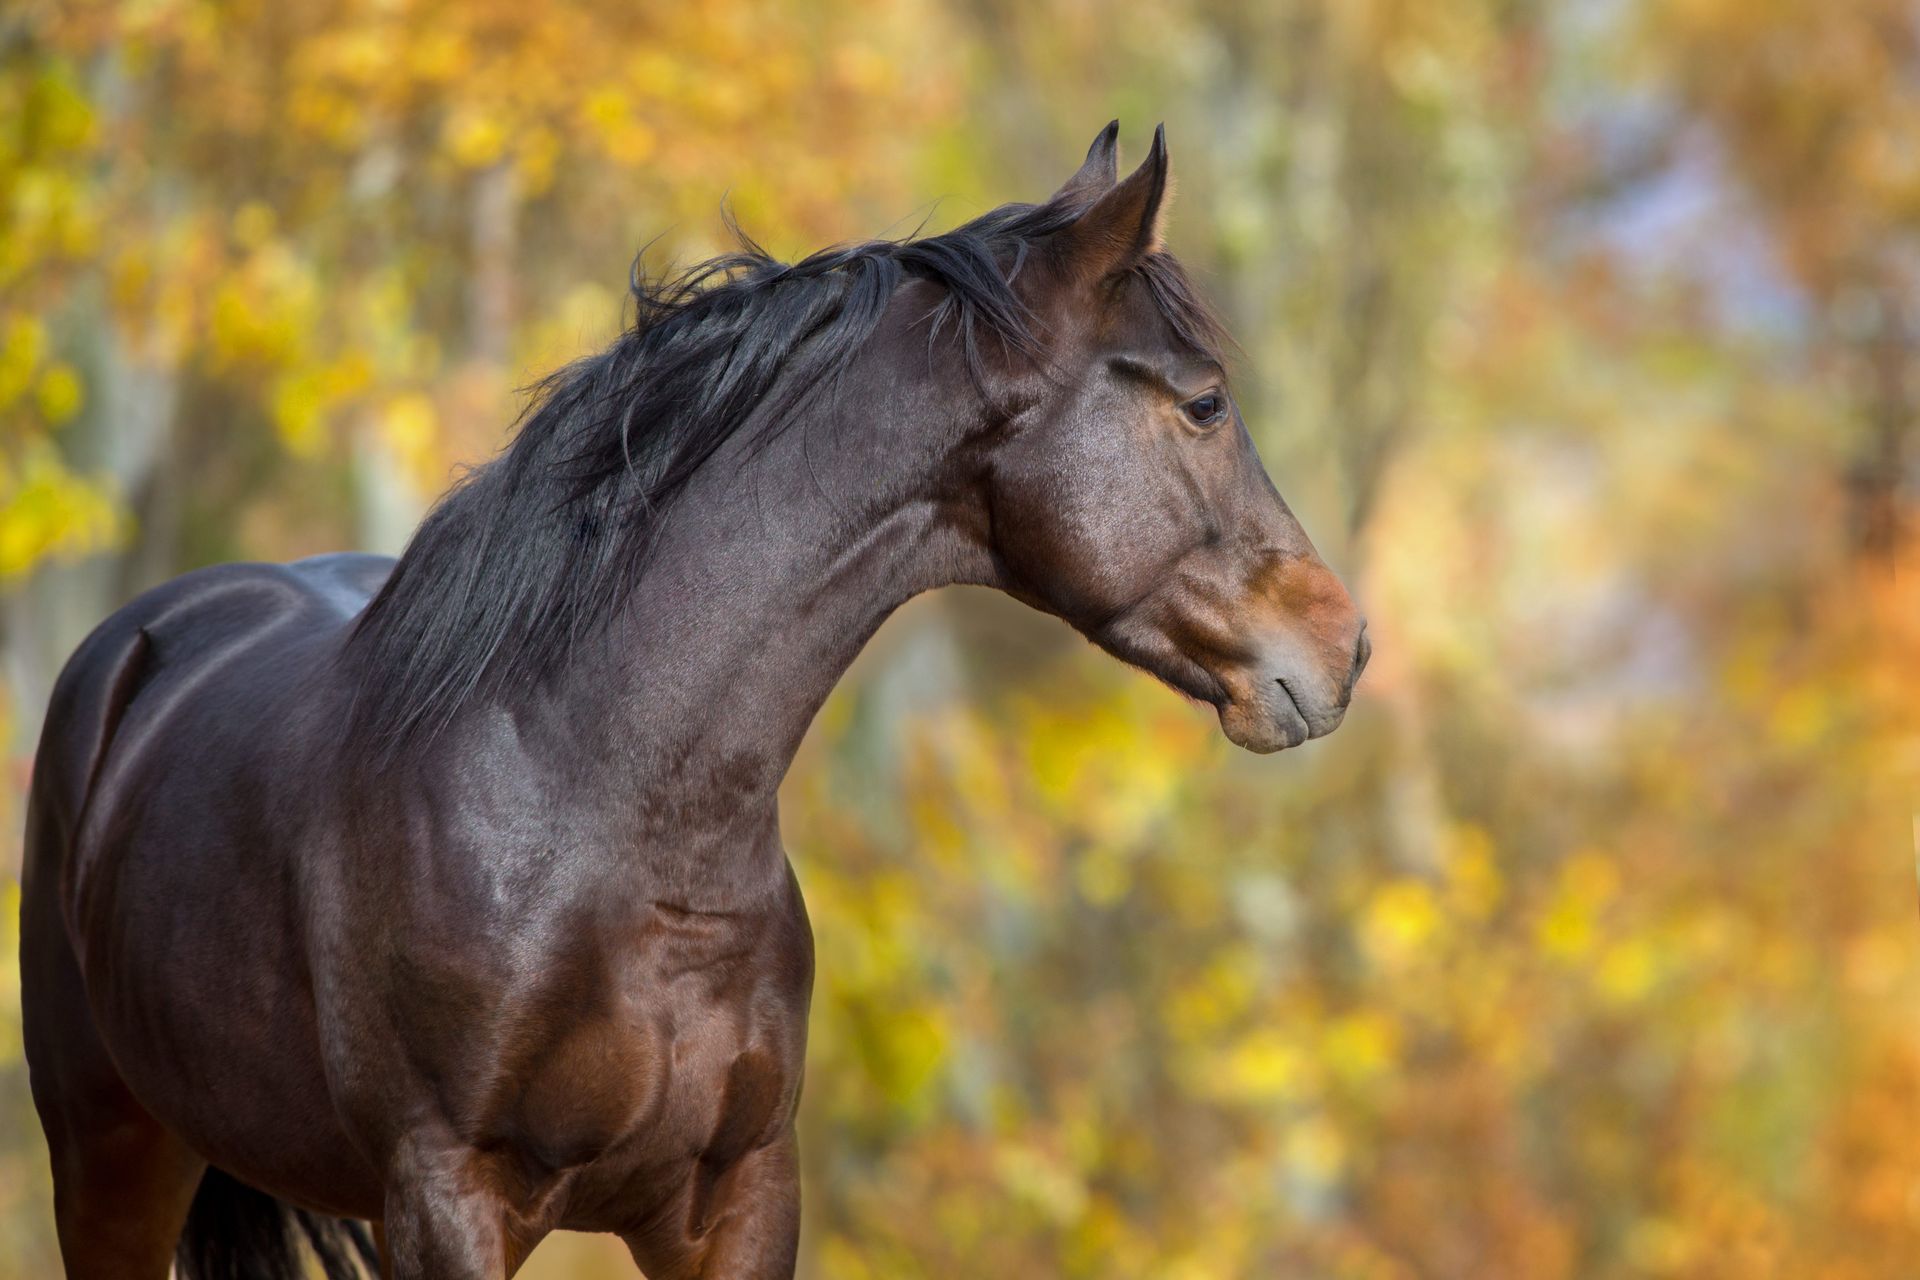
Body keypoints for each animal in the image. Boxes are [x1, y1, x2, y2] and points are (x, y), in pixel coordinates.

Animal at [21, 122, 1367, 1279]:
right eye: (1204, 401)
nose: (1344, 644)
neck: (605, 812)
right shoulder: (448, 1198)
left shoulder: (737, 1196)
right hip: (111, 1156)